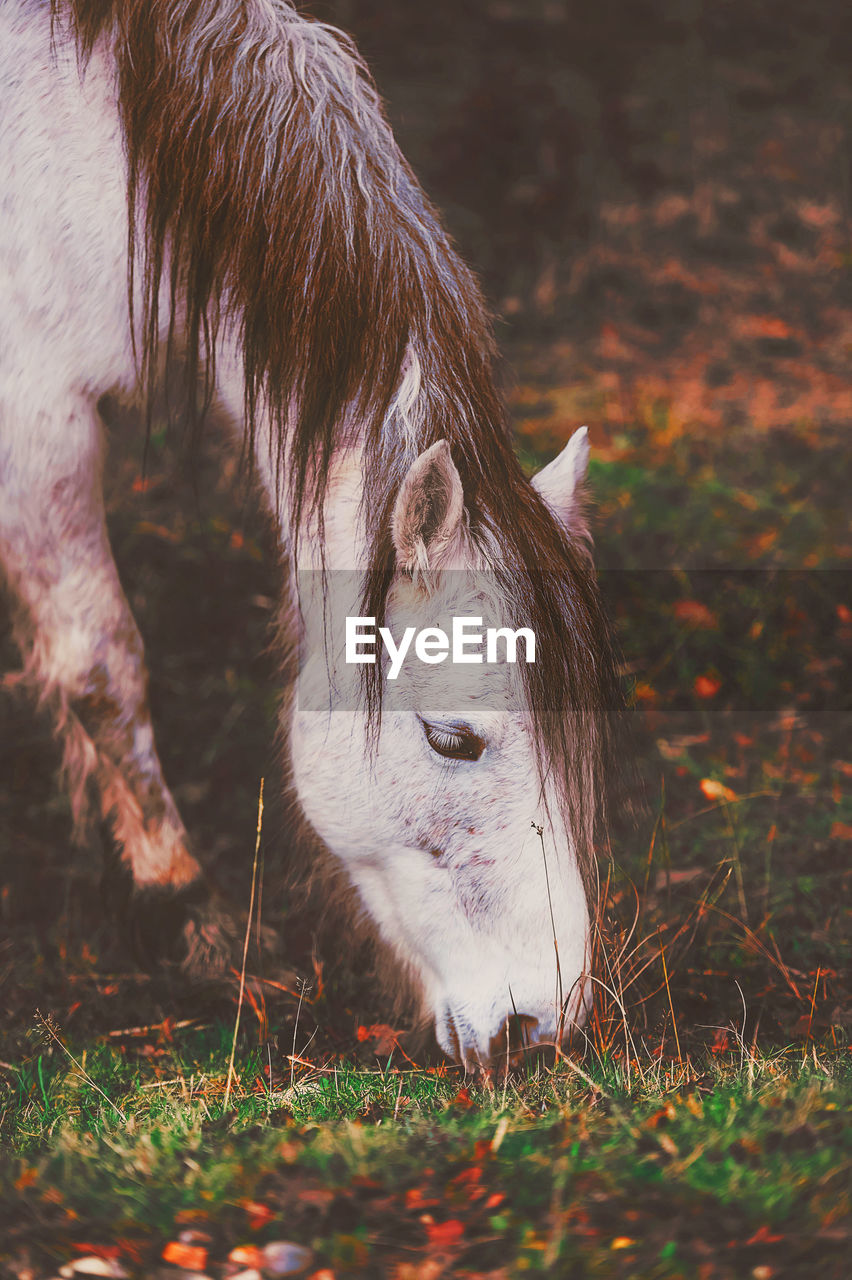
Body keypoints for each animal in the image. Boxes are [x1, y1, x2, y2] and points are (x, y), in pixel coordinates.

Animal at [0, 0, 616, 1070]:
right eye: (453, 740)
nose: (546, 1023)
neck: (91, 130)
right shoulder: (34, 414)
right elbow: (100, 667)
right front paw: (188, 914)